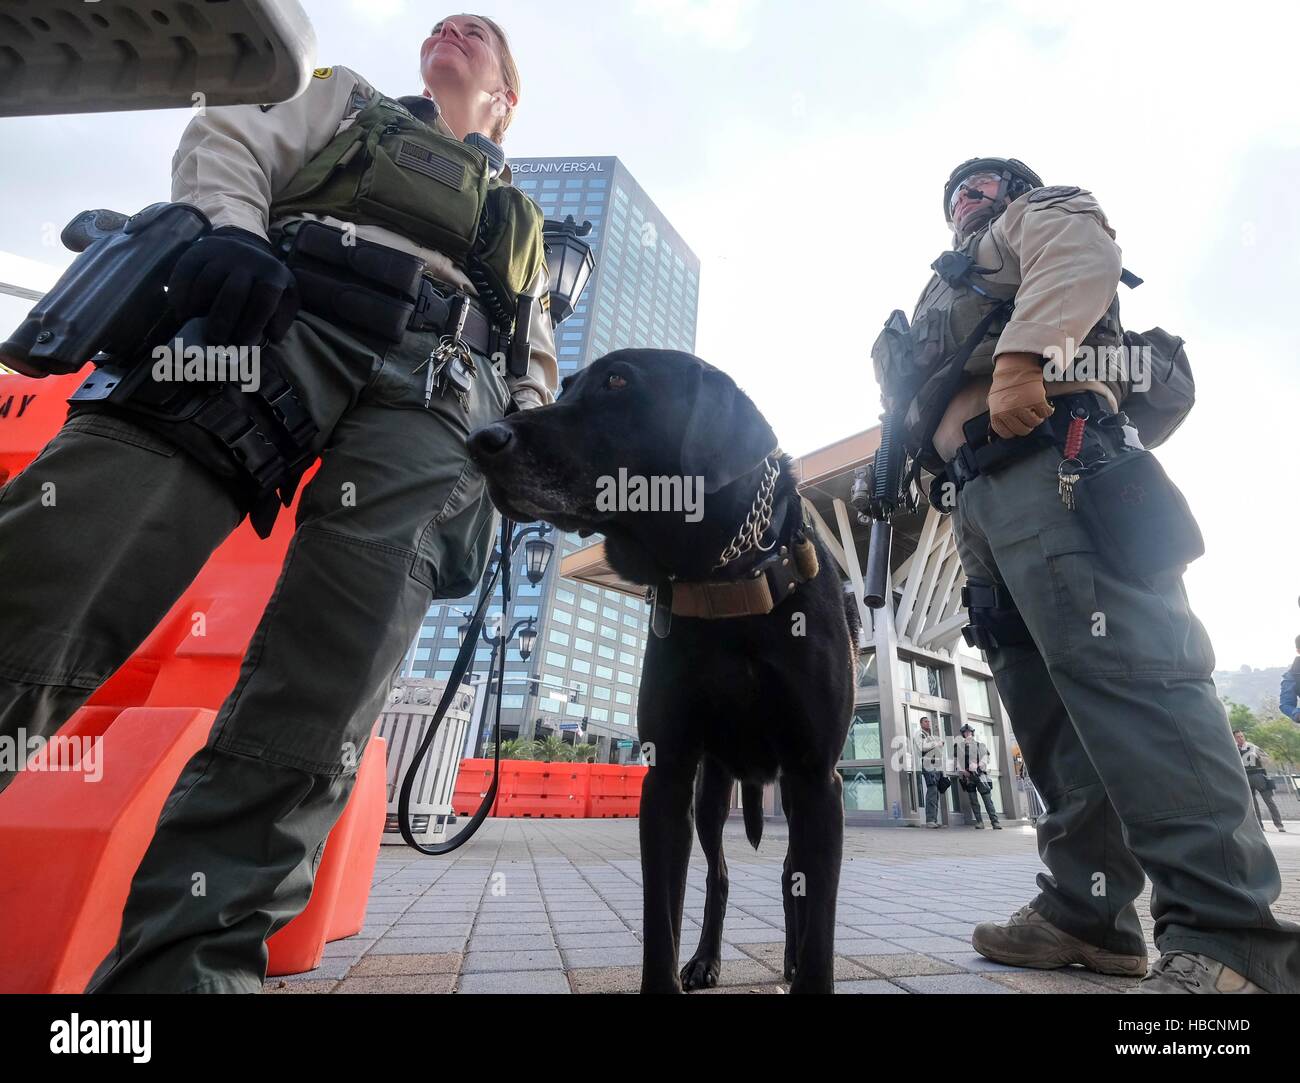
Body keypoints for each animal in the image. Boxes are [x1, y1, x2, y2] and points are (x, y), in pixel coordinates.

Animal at [473, 351, 857, 993]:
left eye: (618, 381)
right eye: (566, 386)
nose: (480, 439)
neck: (726, 578)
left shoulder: (816, 776)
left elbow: (821, 927)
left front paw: (807, 967)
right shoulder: (670, 775)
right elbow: (661, 918)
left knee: (790, 877)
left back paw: (787, 956)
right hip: (712, 792)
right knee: (720, 875)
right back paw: (705, 960)